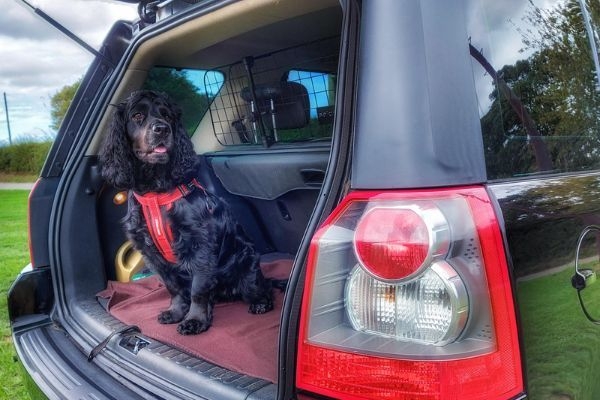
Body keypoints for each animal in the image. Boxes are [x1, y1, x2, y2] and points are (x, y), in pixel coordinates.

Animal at [100, 90, 284, 334]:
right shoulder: (151, 253)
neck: (155, 192)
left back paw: (260, 303)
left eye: (167, 116)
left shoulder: (199, 245)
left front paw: (195, 320)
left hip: (247, 265)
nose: (162, 129)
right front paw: (176, 312)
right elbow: (173, 287)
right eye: (137, 116)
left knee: (262, 288)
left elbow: (198, 290)